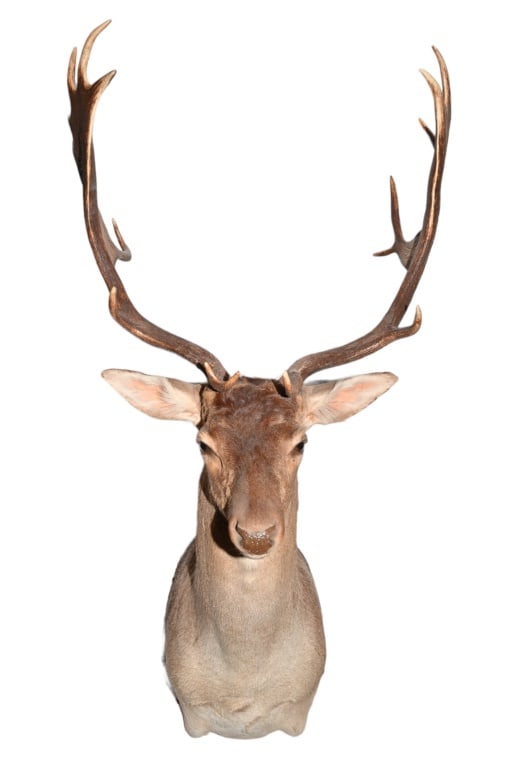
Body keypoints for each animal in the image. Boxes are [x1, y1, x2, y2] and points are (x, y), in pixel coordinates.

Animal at [68, 21, 450, 739]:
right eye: (203, 442)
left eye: (301, 442)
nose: (256, 534)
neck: (243, 700)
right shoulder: (189, 714)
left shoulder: (300, 713)